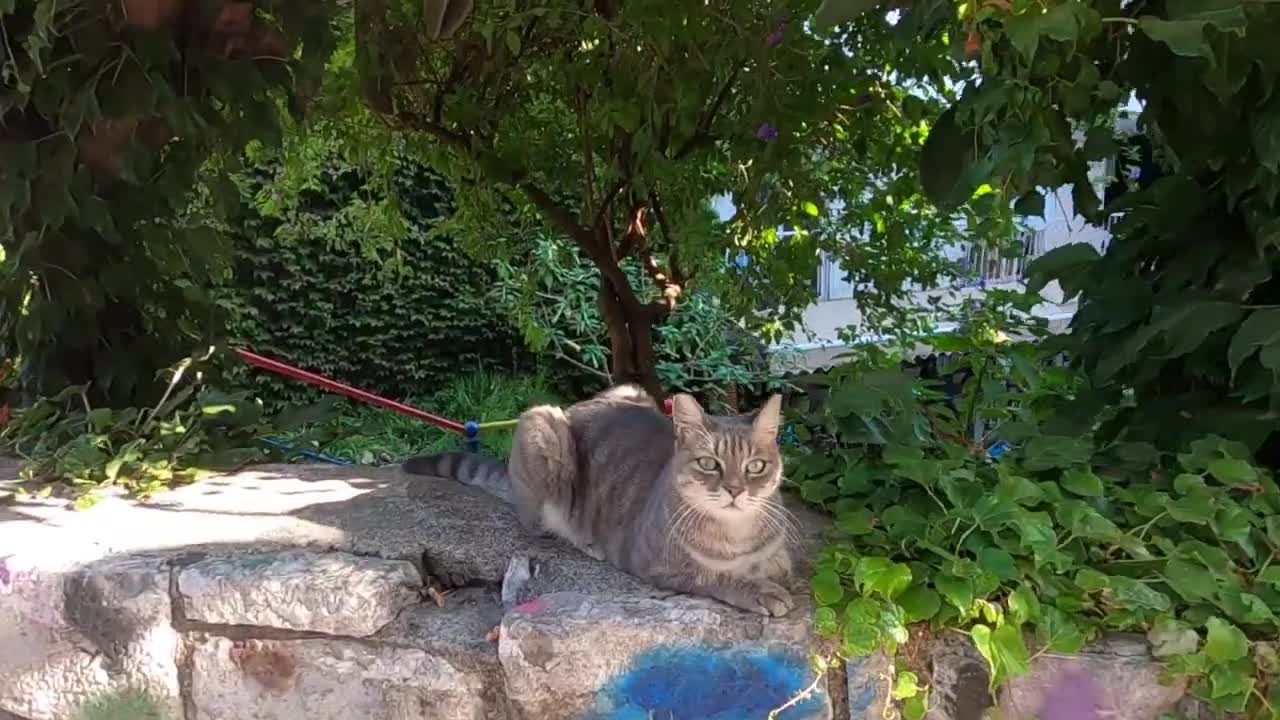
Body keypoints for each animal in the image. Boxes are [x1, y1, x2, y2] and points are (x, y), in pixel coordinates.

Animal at [404, 384, 793, 614]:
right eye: (709, 463)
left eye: (756, 466)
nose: (735, 490)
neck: (735, 532)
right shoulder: (657, 566)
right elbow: (714, 577)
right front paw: (760, 591)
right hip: (541, 425)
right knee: (537, 523)